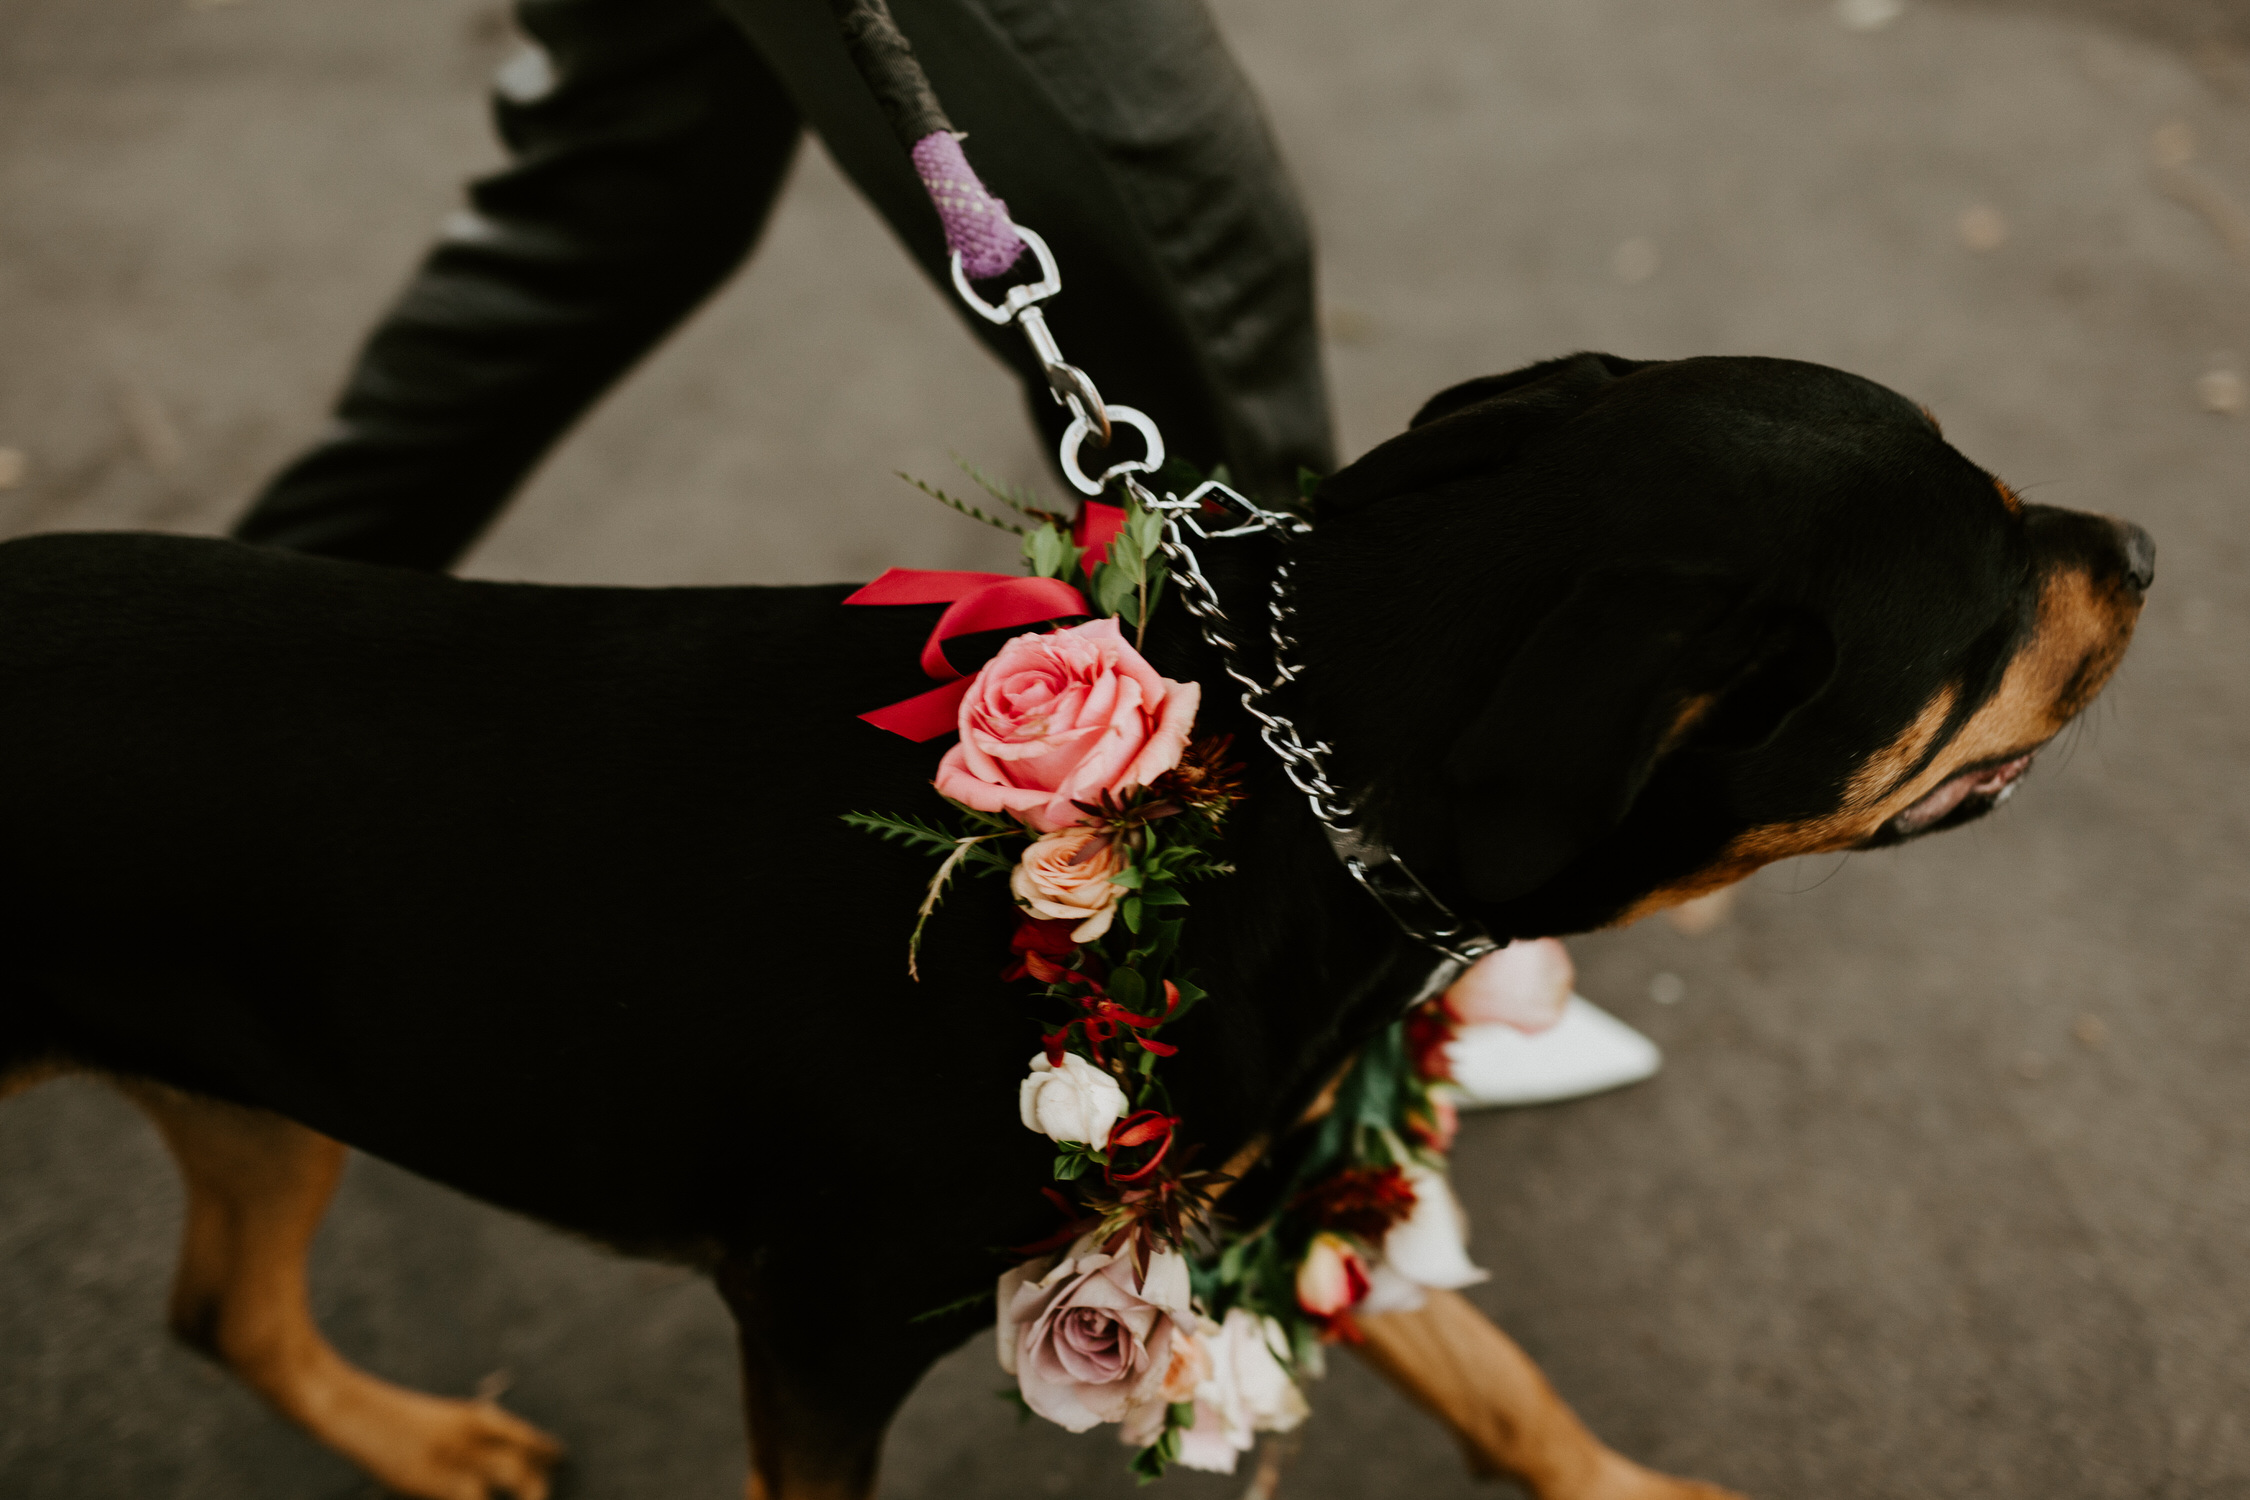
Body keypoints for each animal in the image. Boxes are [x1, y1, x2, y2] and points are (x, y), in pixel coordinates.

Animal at [0, 355, 2142, 1500]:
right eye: (1977, 618)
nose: (2140, 548)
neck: (1272, 793)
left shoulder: (1281, 1178)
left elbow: (1496, 1372)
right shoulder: (820, 1329)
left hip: (255, 1081)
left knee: (224, 1309)